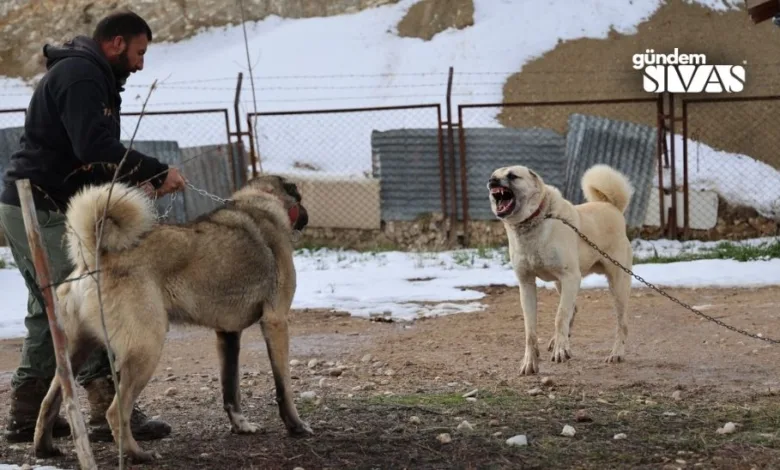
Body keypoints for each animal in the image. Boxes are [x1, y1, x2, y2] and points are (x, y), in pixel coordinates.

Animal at [33, 175, 314, 462]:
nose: (307, 215)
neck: (263, 201)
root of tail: (95, 257)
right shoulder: (276, 321)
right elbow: (283, 387)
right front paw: (296, 426)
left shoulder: (228, 334)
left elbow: (231, 389)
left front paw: (240, 426)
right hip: (146, 349)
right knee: (115, 412)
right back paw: (137, 454)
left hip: (75, 354)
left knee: (49, 401)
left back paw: (44, 449)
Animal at [488, 164, 632, 374]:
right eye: (493, 175)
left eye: (513, 176)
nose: (491, 182)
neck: (534, 221)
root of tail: (612, 207)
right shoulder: (526, 284)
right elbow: (530, 329)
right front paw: (530, 362)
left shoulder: (571, 277)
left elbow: (560, 315)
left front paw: (561, 350)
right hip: (560, 284)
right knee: (574, 308)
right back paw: (557, 340)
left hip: (617, 285)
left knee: (622, 324)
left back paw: (617, 354)